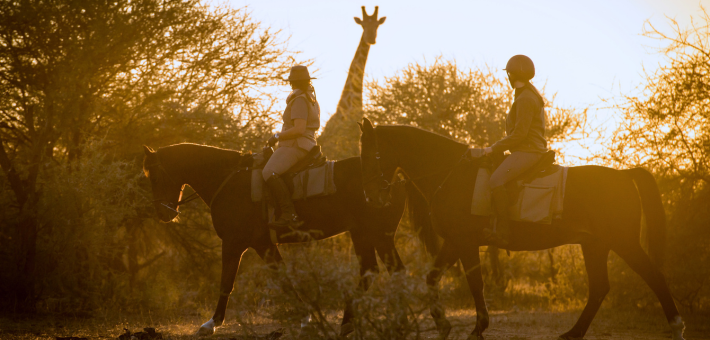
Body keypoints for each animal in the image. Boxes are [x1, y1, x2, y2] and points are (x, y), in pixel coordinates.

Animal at [358, 117, 688, 340]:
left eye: (369, 154)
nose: (371, 197)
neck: (452, 172)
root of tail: (624, 174)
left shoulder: (465, 243)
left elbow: (475, 284)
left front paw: (477, 328)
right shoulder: (453, 243)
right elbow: (432, 278)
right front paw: (443, 324)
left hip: (623, 242)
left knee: (654, 277)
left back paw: (676, 327)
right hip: (594, 245)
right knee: (599, 288)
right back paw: (573, 332)